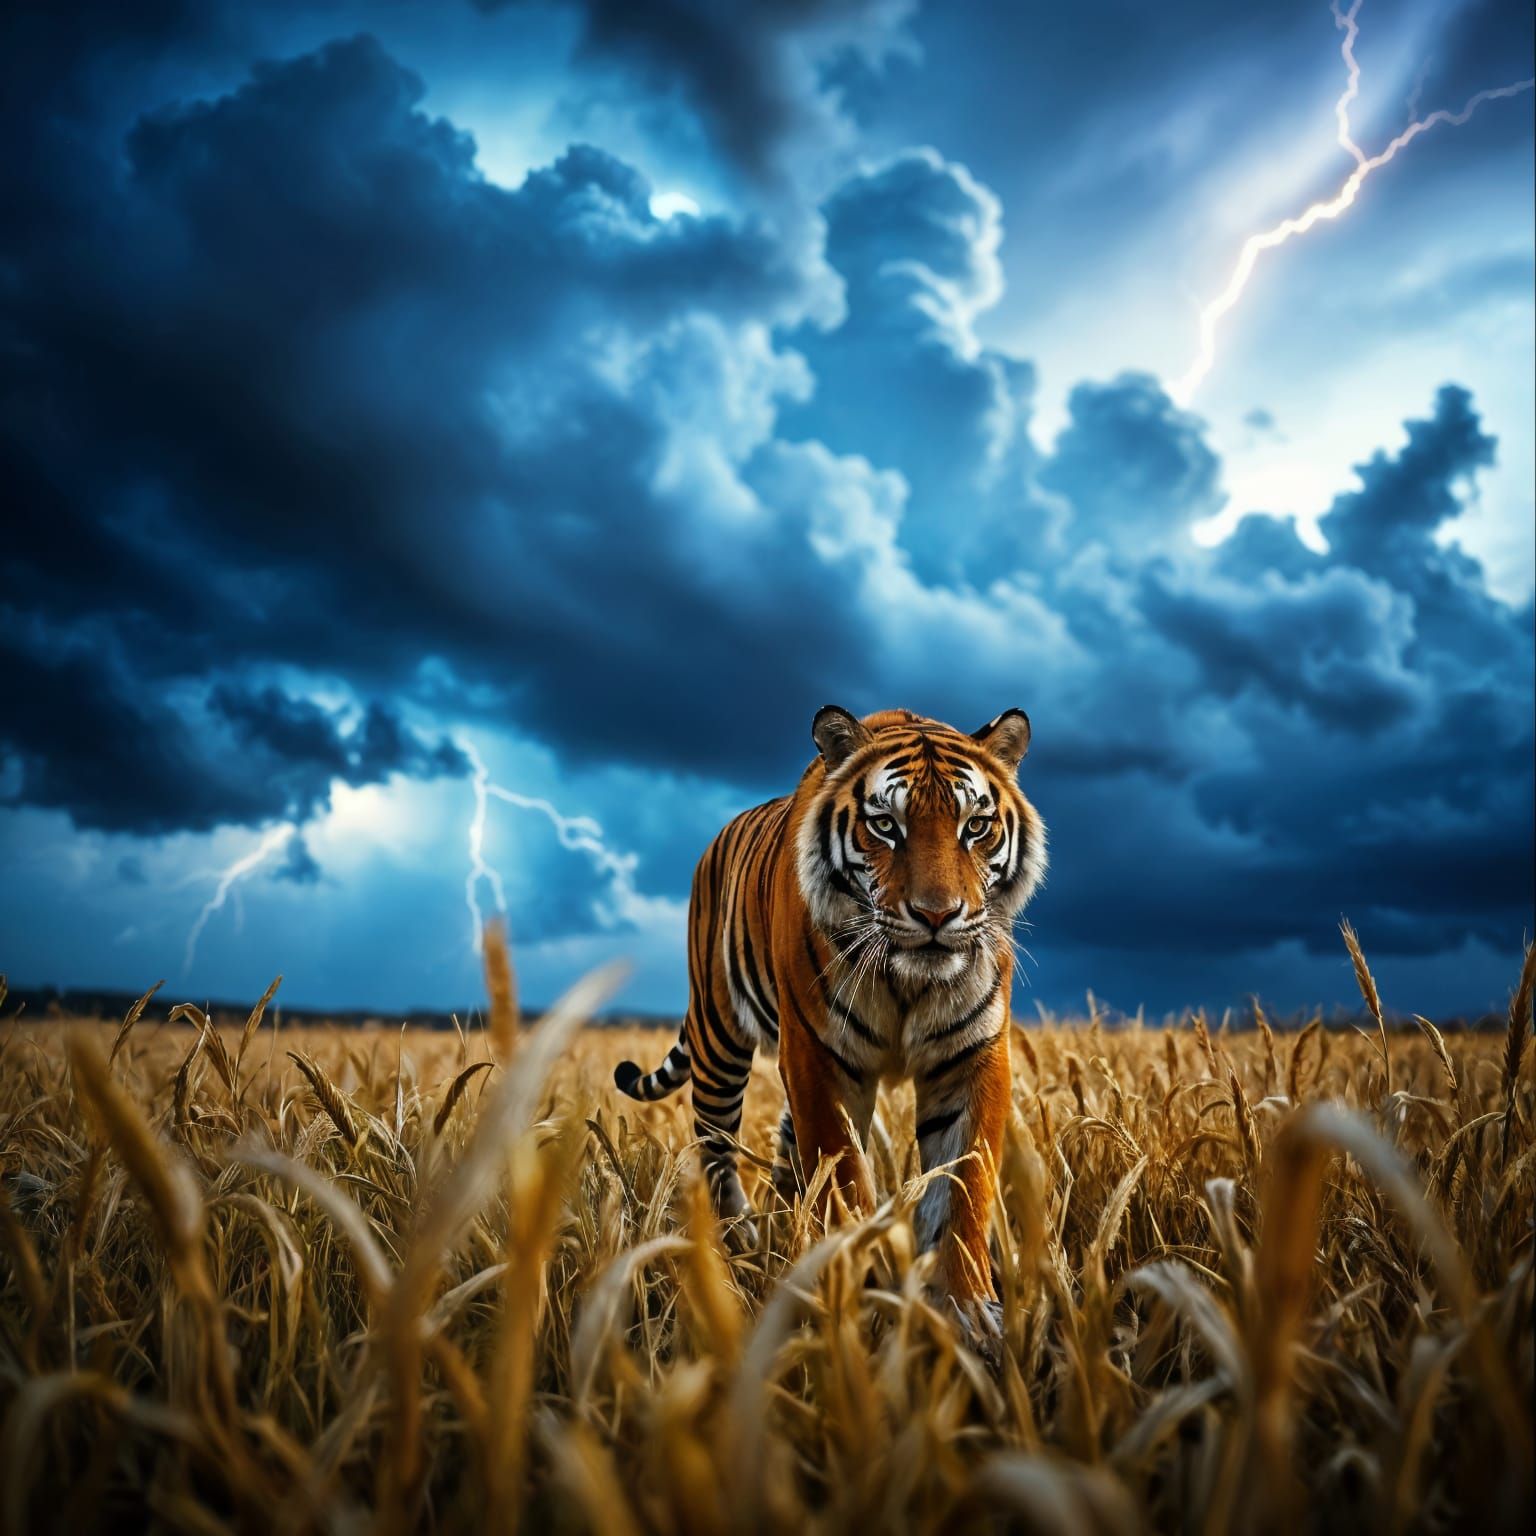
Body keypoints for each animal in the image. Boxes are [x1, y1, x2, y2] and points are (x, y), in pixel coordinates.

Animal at [614, 705, 1047, 1316]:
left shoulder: (972, 1056)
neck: (908, 982)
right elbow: (844, 1176)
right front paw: (861, 1292)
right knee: (715, 1151)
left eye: (976, 827)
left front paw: (966, 1314)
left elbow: (963, 1189)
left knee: (783, 1161)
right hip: (718, 1040)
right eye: (886, 825)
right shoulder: (819, 1056)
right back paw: (737, 1251)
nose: (937, 915)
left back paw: (778, 1239)